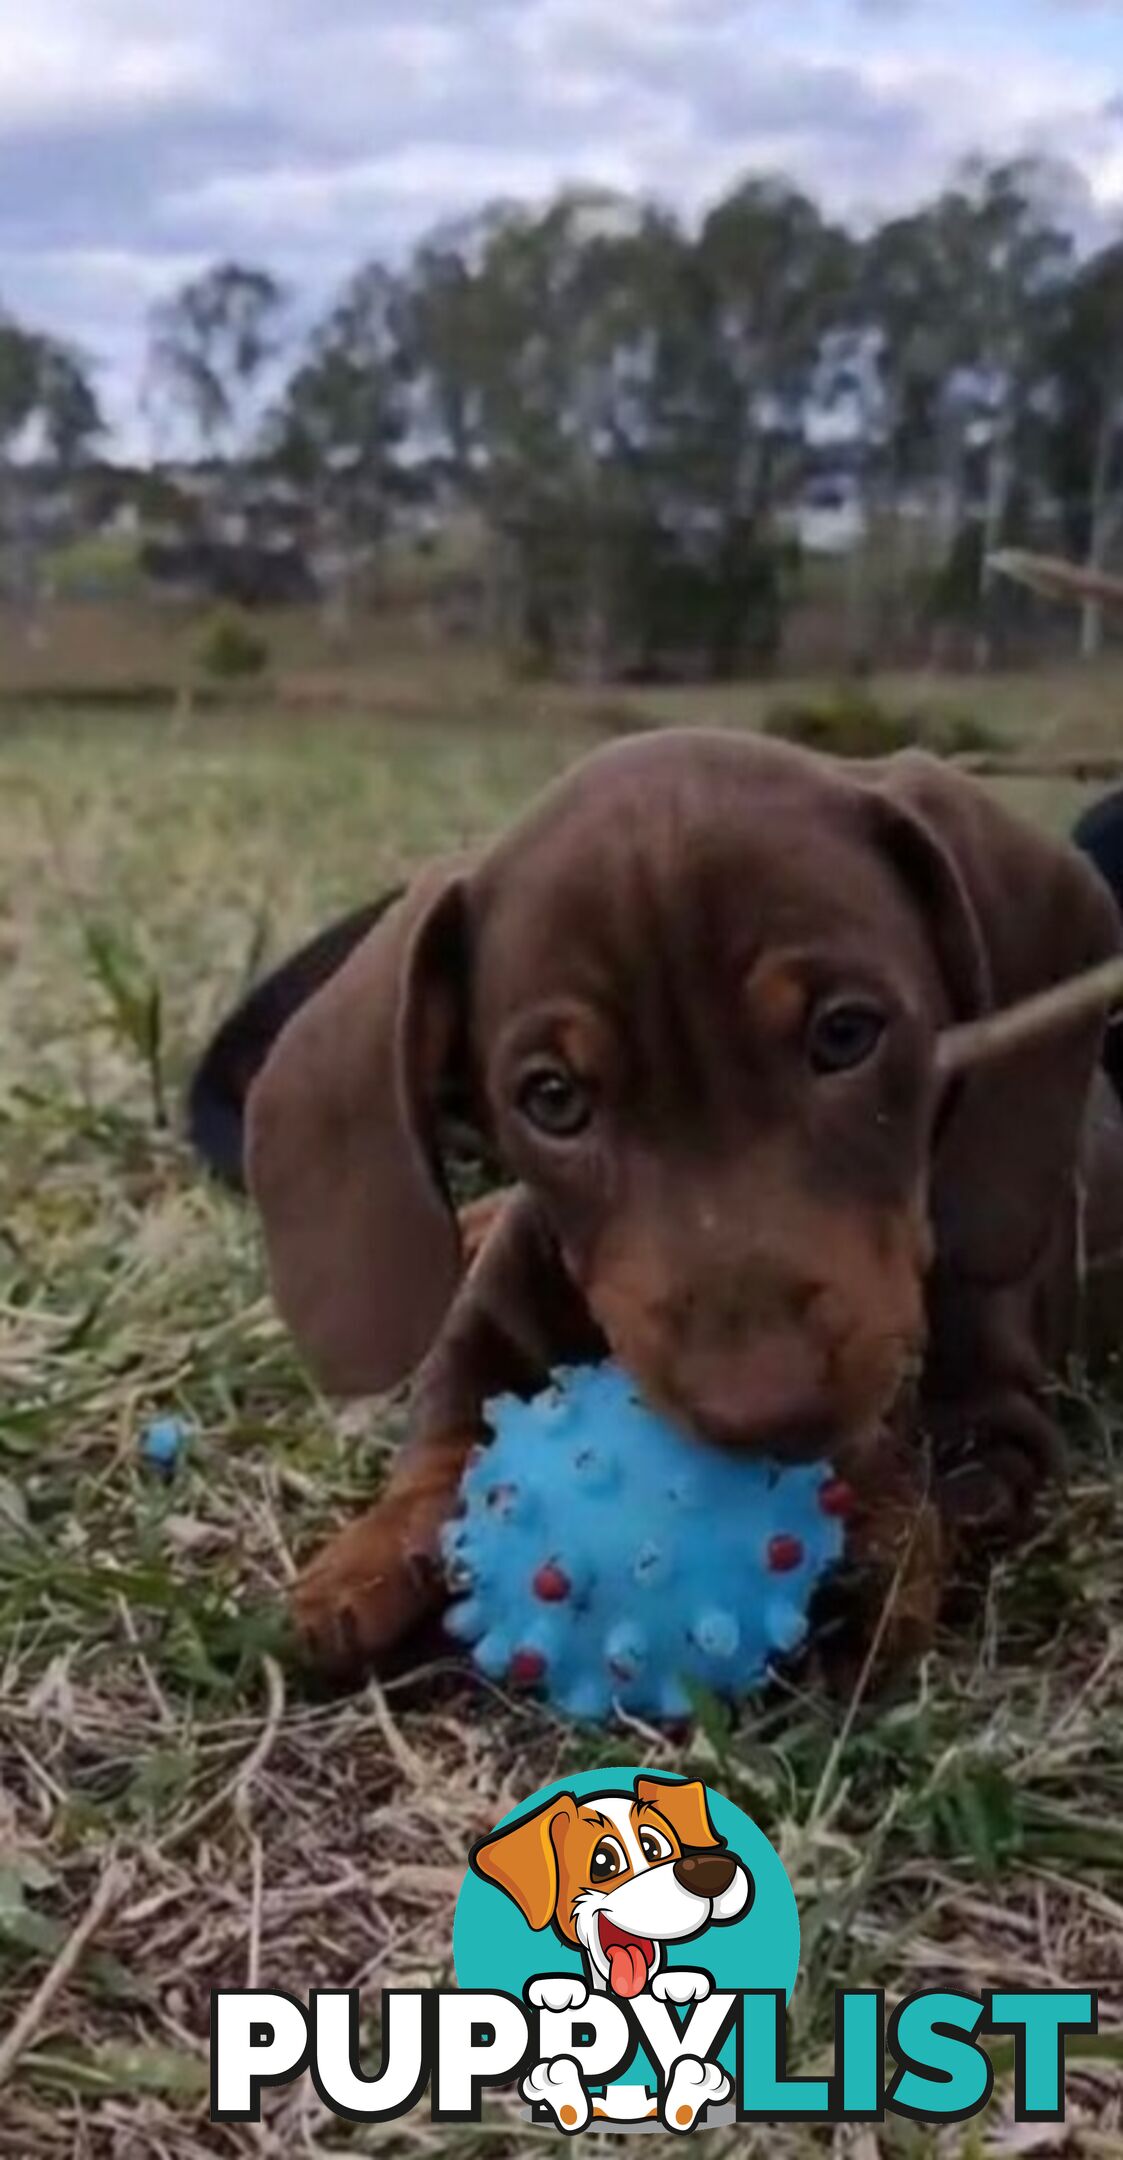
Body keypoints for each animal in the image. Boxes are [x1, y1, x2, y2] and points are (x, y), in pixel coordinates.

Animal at [246, 734, 1123, 1676]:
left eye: (845, 1034)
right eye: (552, 1099)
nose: (764, 1413)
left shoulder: (999, 1435)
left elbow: (944, 1485)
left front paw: (877, 1541)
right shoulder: (483, 1324)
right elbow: (447, 1431)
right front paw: (367, 1559)